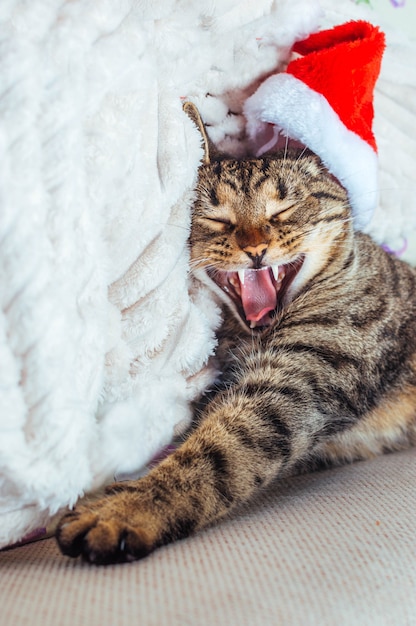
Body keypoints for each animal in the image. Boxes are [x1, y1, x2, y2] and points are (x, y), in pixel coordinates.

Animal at [56, 101, 416, 560]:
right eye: (217, 219)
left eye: (282, 210)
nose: (255, 248)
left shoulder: (295, 383)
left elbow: (217, 454)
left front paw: (126, 508)